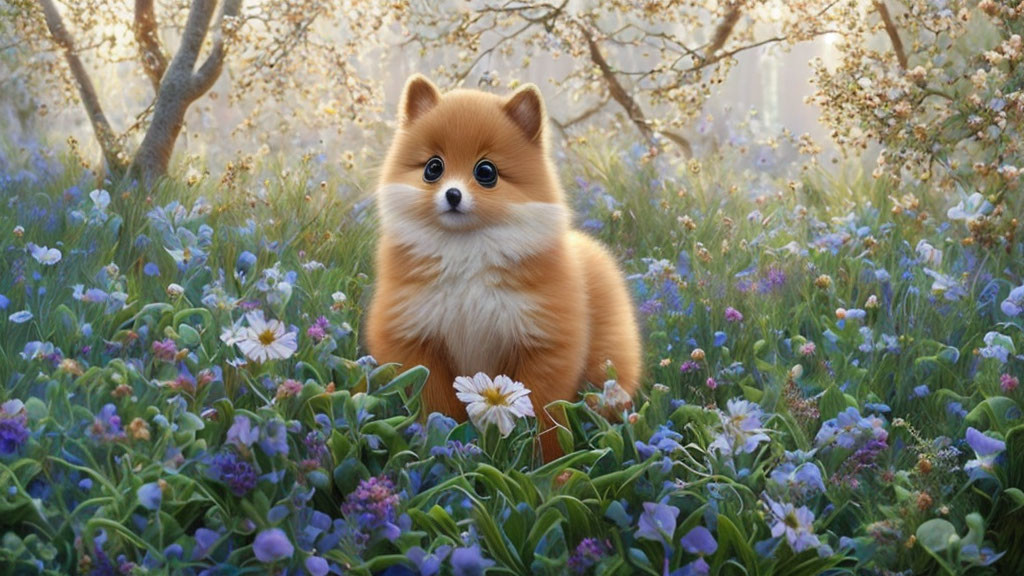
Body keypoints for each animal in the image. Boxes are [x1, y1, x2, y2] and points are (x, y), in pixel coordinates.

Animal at [366, 73, 638, 453]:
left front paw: (545, 460)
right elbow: (436, 405)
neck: (466, 254)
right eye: (433, 168)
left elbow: (543, 412)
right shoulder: (415, 339)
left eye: (486, 172)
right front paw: (442, 441)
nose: (453, 194)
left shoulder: (544, 343)